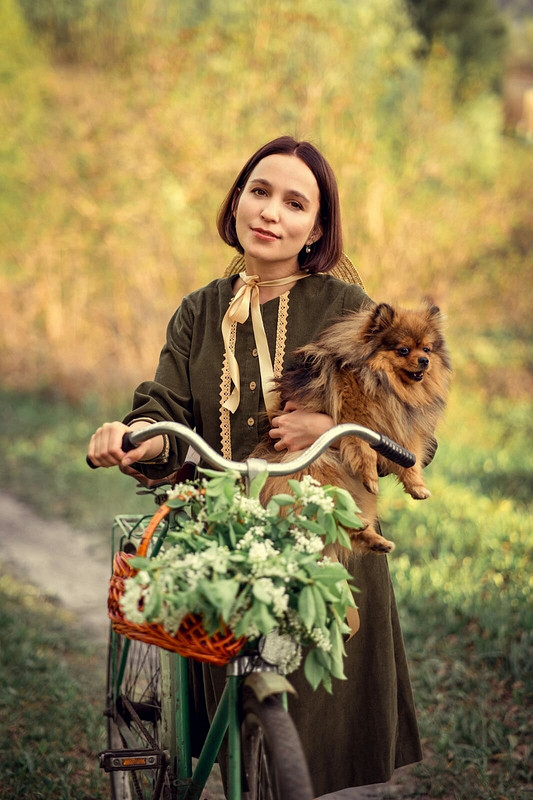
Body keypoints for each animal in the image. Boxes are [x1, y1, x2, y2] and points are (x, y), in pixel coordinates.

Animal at [251, 304, 450, 560]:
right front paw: (371, 477)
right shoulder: (355, 420)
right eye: (404, 350)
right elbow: (365, 452)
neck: (384, 382)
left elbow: (410, 460)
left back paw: (376, 540)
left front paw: (417, 486)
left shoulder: (403, 429)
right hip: (319, 479)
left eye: (427, 348)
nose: (424, 360)